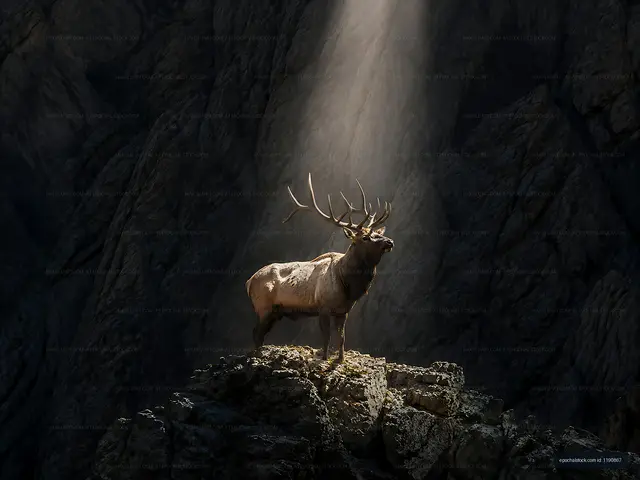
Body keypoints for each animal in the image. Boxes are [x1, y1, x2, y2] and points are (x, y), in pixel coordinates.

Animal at [245, 173, 394, 362]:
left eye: (377, 233)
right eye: (366, 237)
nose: (390, 241)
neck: (347, 283)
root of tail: (249, 281)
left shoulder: (343, 311)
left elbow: (342, 337)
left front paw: (340, 359)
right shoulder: (323, 305)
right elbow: (326, 336)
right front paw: (324, 358)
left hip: (275, 312)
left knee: (260, 333)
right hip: (263, 306)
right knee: (256, 332)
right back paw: (257, 355)